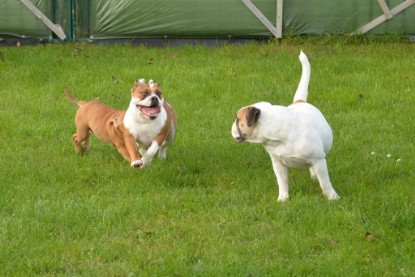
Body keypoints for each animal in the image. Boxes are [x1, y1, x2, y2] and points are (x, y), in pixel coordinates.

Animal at [232, 50, 340, 199]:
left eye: (237, 119)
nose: (232, 124)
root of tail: (300, 101)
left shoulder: (319, 160)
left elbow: (325, 182)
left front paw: (332, 197)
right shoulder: (278, 163)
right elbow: (282, 181)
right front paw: (283, 198)